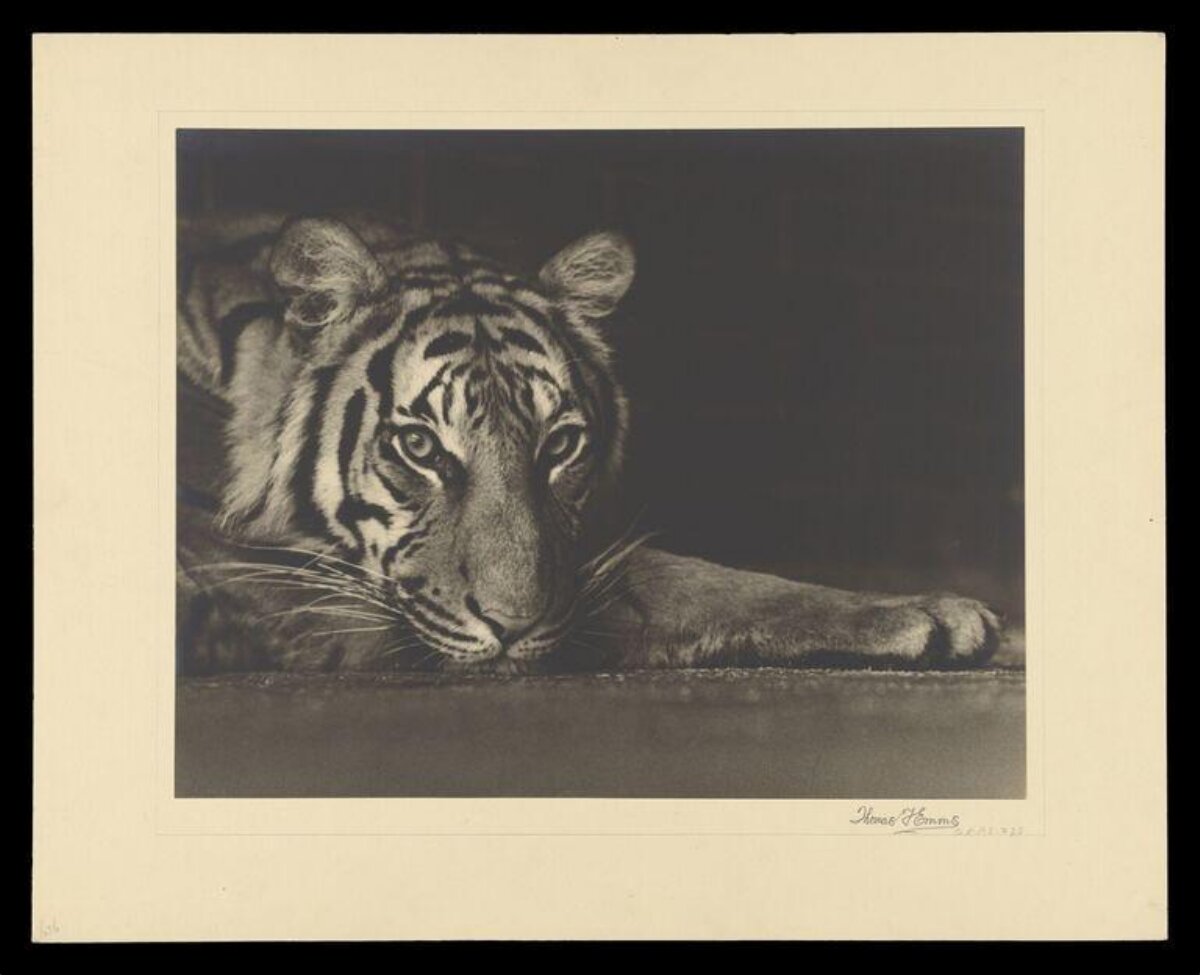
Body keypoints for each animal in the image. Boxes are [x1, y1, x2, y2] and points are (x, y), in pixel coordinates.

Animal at [176, 211, 1003, 674]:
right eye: (419, 446)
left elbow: (683, 579)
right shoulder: (270, 578)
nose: (512, 627)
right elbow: (662, 580)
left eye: (560, 445)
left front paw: (927, 615)